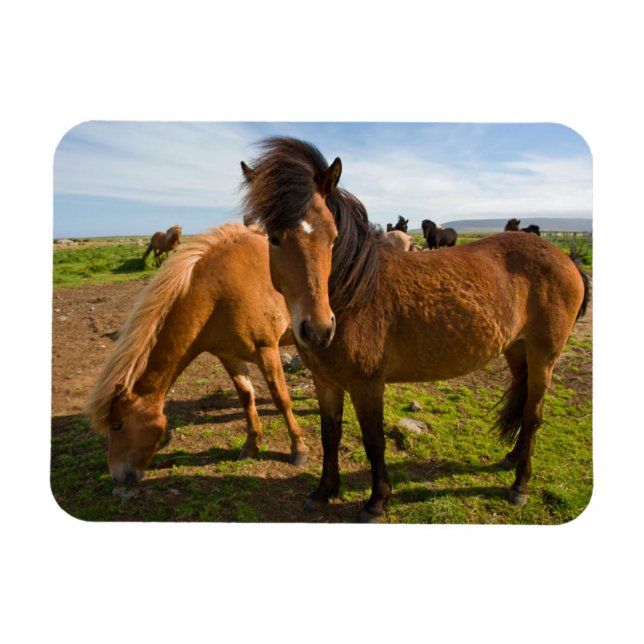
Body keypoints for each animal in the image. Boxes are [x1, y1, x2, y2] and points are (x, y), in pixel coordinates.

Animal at [86, 223, 308, 485]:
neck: (219, 292)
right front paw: (251, 446)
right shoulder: (229, 356)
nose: (118, 475)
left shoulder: (267, 351)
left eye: (117, 426)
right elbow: (246, 398)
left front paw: (298, 448)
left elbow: (281, 399)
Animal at [241, 137, 589, 523]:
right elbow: (330, 435)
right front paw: (323, 492)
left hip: (545, 356)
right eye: (273, 238)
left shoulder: (367, 384)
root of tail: (565, 259)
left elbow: (373, 440)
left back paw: (519, 485)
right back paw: (512, 458)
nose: (318, 329)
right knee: (525, 404)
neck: (355, 294)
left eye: (332, 236)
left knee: (533, 415)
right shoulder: (325, 382)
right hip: (517, 350)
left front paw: (377, 501)